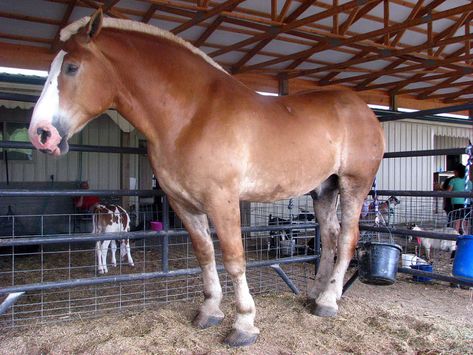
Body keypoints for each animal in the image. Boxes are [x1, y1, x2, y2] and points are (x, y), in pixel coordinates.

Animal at [27, 10, 384, 348]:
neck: (193, 114)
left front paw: (243, 325)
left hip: (354, 184)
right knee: (330, 236)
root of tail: (364, 110)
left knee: (347, 238)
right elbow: (204, 254)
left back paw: (328, 302)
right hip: (324, 188)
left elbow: (234, 259)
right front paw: (209, 311)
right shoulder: (183, 203)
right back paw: (316, 295)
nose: (41, 134)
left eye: (72, 67)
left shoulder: (222, 200)